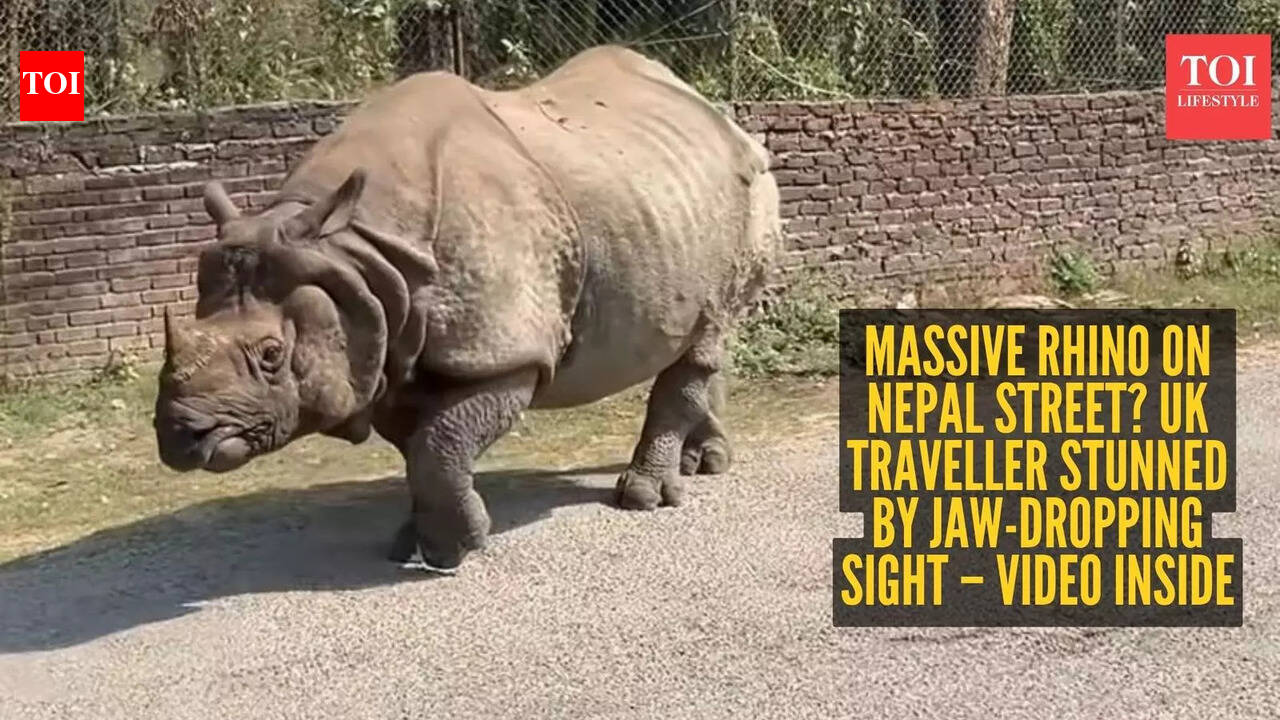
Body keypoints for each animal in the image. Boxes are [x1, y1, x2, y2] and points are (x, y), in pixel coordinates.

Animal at [153, 45, 781, 573]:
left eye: (271, 354)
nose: (180, 435)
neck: (353, 252)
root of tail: (720, 117)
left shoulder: (503, 349)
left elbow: (439, 443)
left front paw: (456, 549)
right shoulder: (386, 343)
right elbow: (419, 447)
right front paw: (413, 542)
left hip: (749, 192)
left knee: (707, 330)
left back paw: (644, 497)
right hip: (667, 196)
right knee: (707, 332)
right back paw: (707, 463)